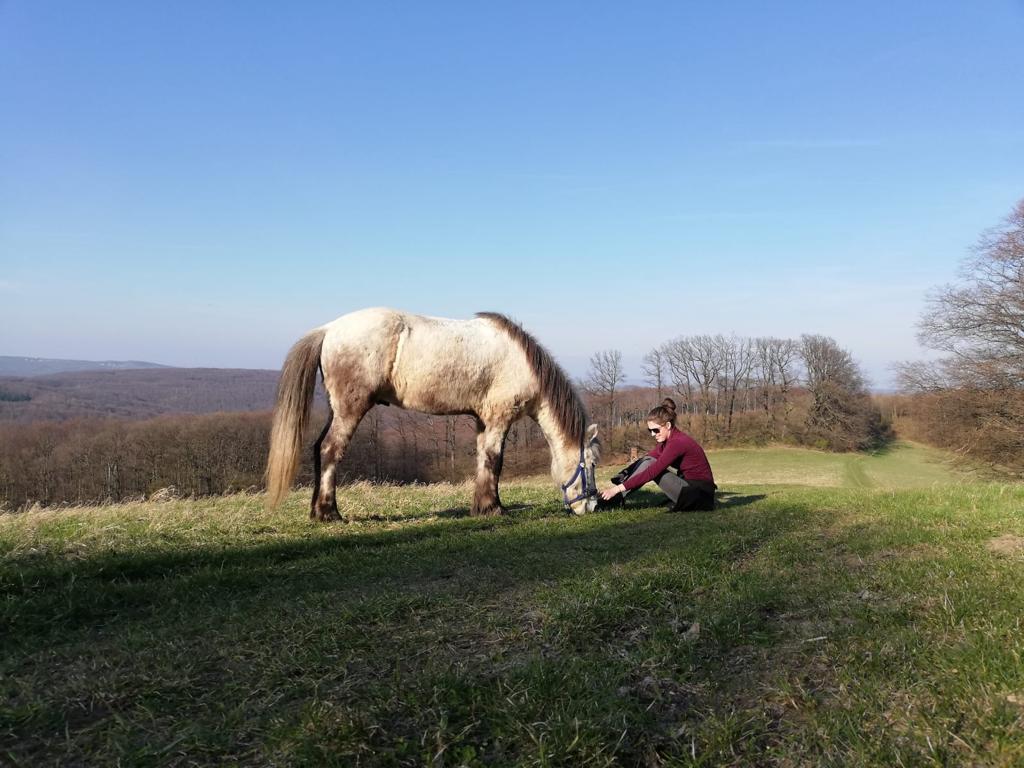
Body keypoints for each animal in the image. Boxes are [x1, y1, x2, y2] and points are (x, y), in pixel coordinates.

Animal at [266, 309, 598, 520]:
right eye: (592, 463)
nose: (592, 506)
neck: (522, 362)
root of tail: (329, 329)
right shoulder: (499, 419)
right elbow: (495, 461)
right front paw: (494, 508)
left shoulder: (482, 421)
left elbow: (483, 460)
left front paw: (481, 507)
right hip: (350, 410)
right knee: (330, 450)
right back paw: (329, 513)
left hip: (336, 410)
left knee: (318, 449)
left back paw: (316, 510)